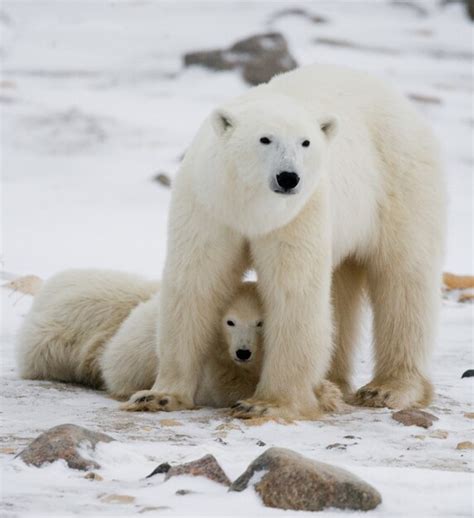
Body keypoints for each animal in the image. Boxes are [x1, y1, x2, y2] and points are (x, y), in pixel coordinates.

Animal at [128, 64, 446, 422]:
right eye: (265, 138)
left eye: (306, 142)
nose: (288, 177)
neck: (252, 209)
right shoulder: (209, 206)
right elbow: (195, 281)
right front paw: (159, 395)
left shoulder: (299, 213)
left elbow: (293, 290)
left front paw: (265, 402)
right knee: (342, 288)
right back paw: (331, 383)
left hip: (400, 181)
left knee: (403, 279)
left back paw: (388, 388)